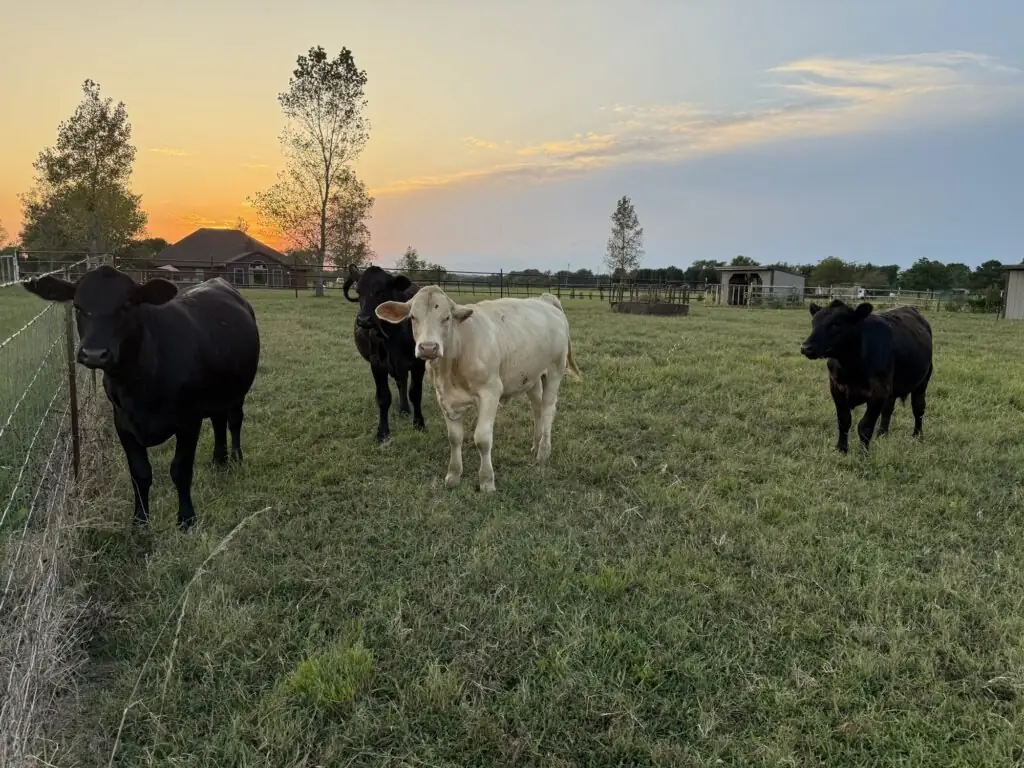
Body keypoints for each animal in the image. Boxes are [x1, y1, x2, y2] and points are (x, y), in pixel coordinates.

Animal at [22, 265, 260, 530]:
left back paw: (236, 458)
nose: (94, 353)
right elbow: (140, 472)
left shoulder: (189, 420)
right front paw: (140, 520)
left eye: (127, 304)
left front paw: (186, 519)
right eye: (77, 306)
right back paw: (219, 459)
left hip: (237, 392)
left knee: (234, 421)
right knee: (218, 421)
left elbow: (181, 470)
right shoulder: (122, 421)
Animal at [342, 264, 426, 443]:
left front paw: (419, 423)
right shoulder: (377, 364)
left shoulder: (418, 363)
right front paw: (382, 432)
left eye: (381, 291)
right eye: (359, 291)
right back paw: (403, 409)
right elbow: (383, 398)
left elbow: (415, 393)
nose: (364, 320)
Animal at [375, 286, 582, 492]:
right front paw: (453, 475)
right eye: (412, 317)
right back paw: (536, 444)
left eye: (446, 318)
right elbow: (454, 438)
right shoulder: (444, 397)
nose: (428, 347)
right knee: (537, 408)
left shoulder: (490, 392)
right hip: (531, 377)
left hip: (554, 370)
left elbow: (482, 439)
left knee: (548, 409)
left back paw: (543, 451)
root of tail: (544, 299)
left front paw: (487, 481)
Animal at [799, 299, 932, 453]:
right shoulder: (836, 389)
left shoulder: (879, 393)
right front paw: (842, 449)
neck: (851, 367)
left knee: (918, 408)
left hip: (923, 381)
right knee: (888, 409)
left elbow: (865, 426)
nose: (806, 347)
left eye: (836, 324)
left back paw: (917, 435)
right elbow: (844, 420)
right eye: (813, 322)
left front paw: (863, 453)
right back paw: (882, 434)